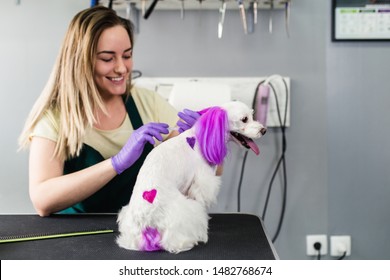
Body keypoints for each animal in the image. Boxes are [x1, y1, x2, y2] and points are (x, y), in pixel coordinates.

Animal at [116, 101, 266, 254]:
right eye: (244, 119)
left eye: (252, 115)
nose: (264, 130)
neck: (200, 139)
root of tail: (147, 219)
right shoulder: (201, 184)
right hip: (183, 214)